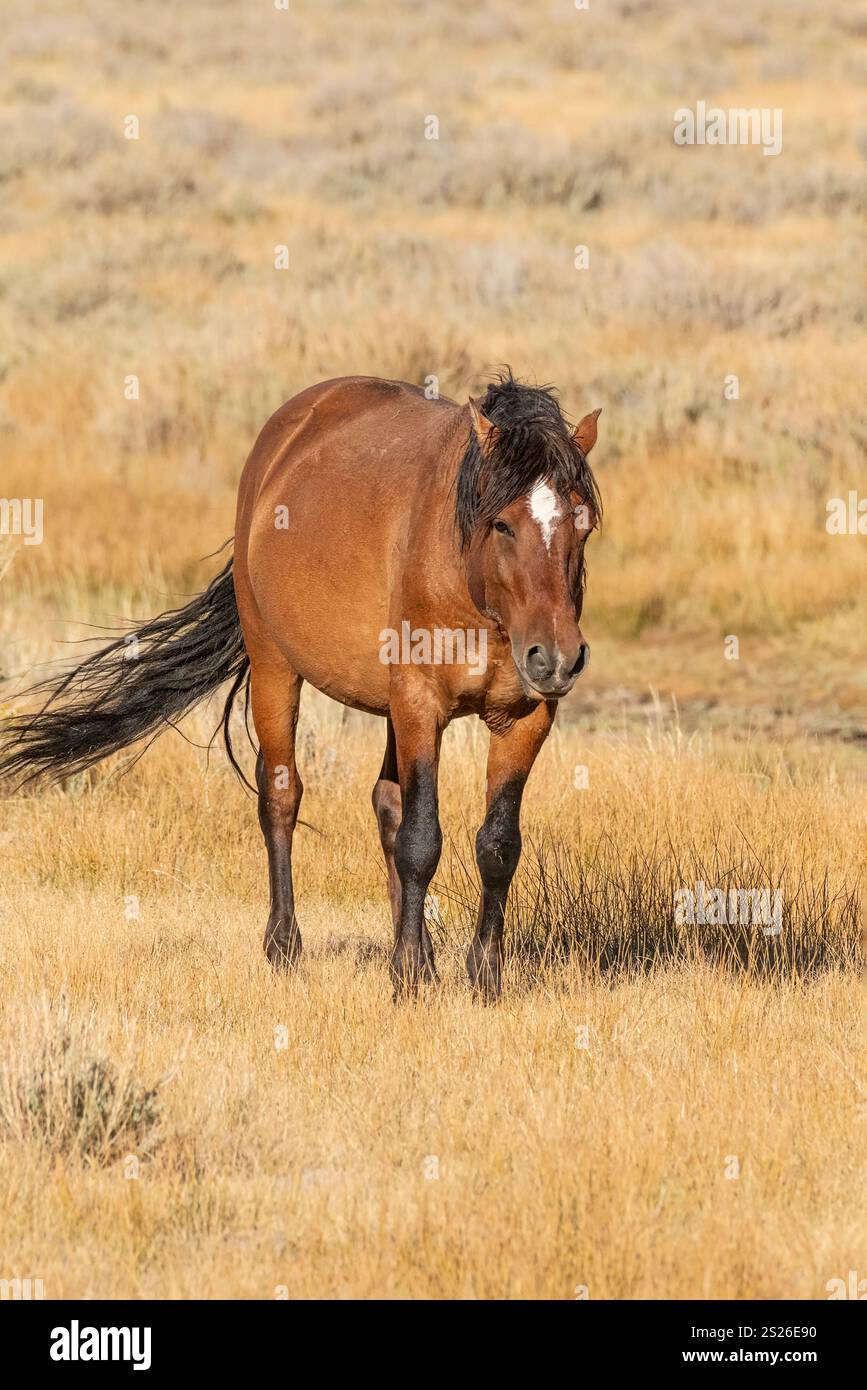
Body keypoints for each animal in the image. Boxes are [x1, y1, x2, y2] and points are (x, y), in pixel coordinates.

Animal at [0, 371, 602, 998]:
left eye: (582, 523)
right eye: (502, 523)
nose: (557, 658)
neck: (471, 586)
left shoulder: (524, 718)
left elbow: (497, 844)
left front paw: (482, 975)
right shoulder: (420, 705)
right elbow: (422, 841)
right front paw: (410, 976)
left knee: (387, 807)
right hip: (275, 668)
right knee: (281, 799)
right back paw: (284, 946)